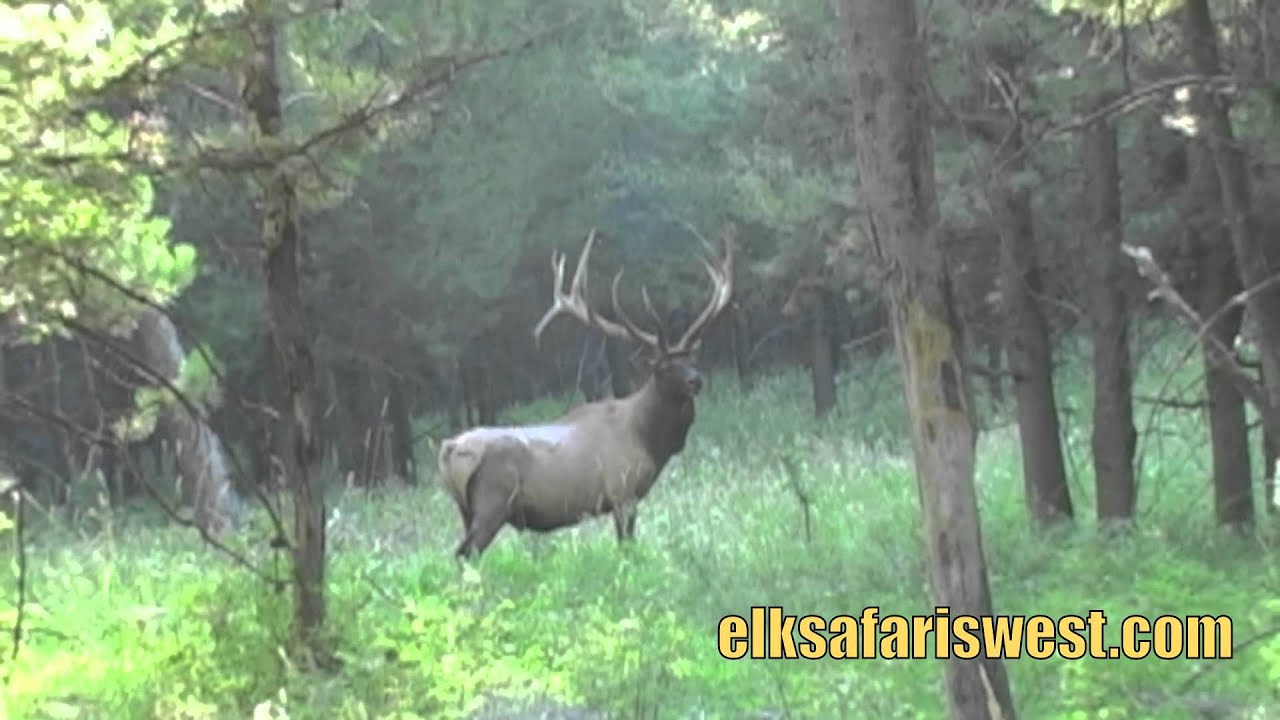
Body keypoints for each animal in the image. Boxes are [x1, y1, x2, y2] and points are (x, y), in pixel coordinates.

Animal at [436, 227, 735, 559]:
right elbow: (627, 546)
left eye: (691, 359)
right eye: (664, 367)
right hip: (493, 502)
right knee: (464, 553)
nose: (696, 380)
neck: (650, 439)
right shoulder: (623, 491)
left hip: (466, 509)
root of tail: (449, 449)